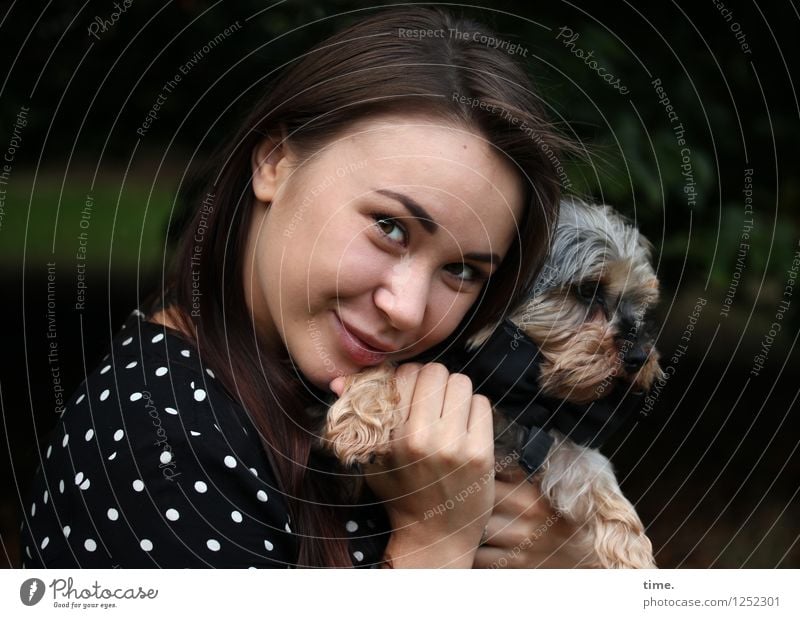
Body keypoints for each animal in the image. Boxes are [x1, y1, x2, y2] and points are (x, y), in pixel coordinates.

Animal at [318, 199, 664, 568]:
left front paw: (634, 556)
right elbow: (380, 362)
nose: (640, 356)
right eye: (587, 291)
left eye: (640, 306)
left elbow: (597, 482)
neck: (509, 388)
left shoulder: (552, 440)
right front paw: (360, 419)